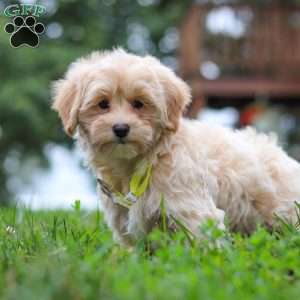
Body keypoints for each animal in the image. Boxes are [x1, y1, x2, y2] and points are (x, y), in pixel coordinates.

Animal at [52, 49, 300, 245]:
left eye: (139, 104)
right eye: (102, 104)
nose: (121, 128)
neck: (145, 161)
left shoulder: (191, 210)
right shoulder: (123, 219)